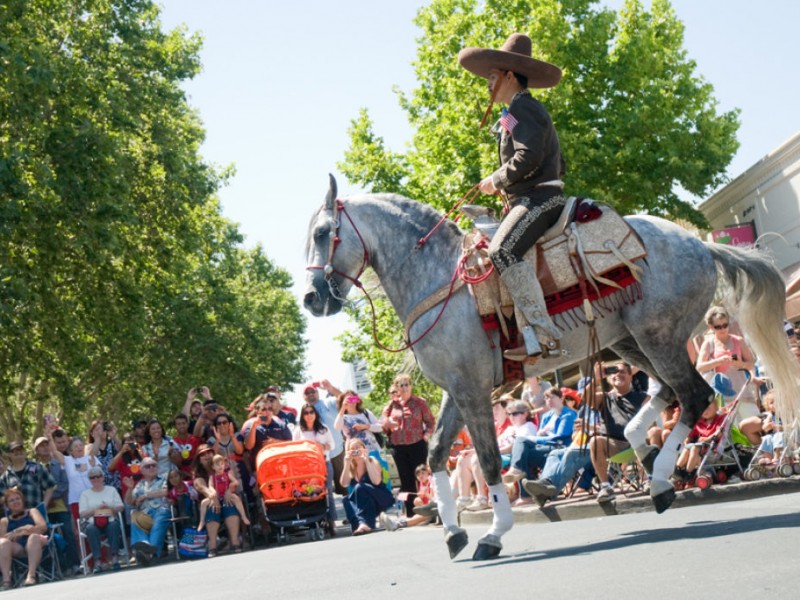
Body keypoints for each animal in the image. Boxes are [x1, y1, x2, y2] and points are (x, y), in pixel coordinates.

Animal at [304, 176, 800, 560]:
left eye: (324, 232)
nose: (312, 298)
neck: (440, 278)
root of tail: (699, 244)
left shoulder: (472, 389)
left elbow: (487, 461)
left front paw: (493, 533)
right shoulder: (455, 389)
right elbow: (436, 452)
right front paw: (454, 531)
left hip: (656, 337)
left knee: (693, 394)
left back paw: (658, 476)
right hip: (632, 340)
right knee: (671, 392)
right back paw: (649, 458)